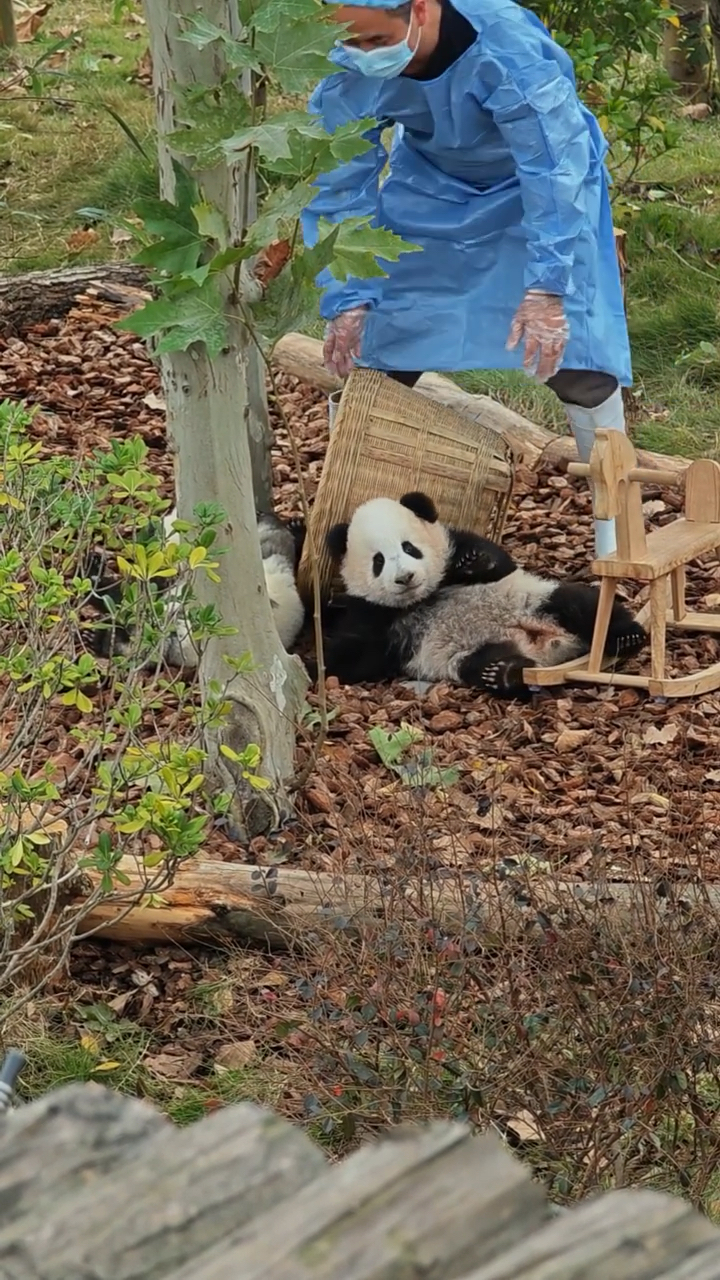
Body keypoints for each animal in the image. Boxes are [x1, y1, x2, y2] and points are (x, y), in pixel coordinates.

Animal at [319, 488, 645, 701]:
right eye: (379, 561)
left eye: (409, 547)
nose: (405, 577)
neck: (423, 597)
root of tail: (550, 646)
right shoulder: (372, 613)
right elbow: (355, 656)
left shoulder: (457, 549)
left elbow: (498, 561)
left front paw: (473, 561)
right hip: (464, 655)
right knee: (486, 663)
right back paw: (504, 673)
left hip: (535, 599)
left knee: (580, 604)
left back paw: (627, 636)